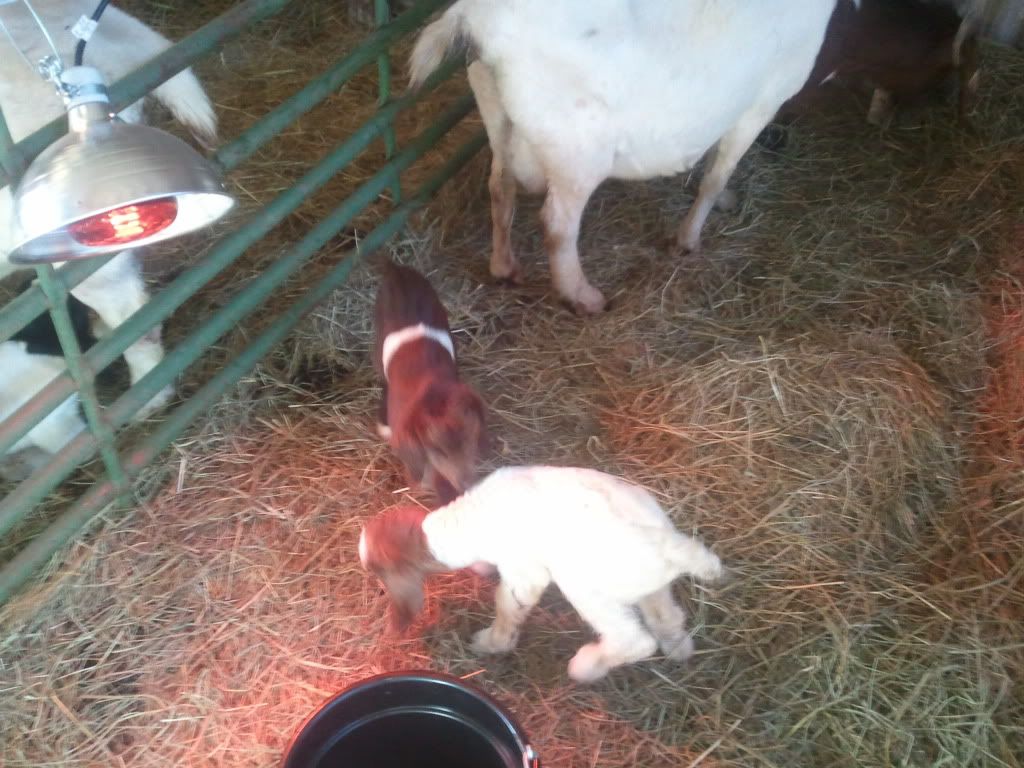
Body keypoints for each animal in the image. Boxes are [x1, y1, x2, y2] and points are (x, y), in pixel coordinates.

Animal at [359, 465, 724, 682]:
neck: (466, 520)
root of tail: (667, 546)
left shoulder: (524, 571)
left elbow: (507, 604)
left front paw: (492, 643)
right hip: (647, 584)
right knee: (667, 615)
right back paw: (678, 648)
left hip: (586, 587)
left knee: (633, 640)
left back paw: (586, 667)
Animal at [408, 0, 837, 313]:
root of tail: (474, 19)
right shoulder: (761, 102)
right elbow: (716, 177)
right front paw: (688, 238)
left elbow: (715, 159)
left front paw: (724, 202)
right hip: (576, 148)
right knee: (557, 225)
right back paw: (582, 296)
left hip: (498, 115)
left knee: (500, 189)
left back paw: (504, 266)